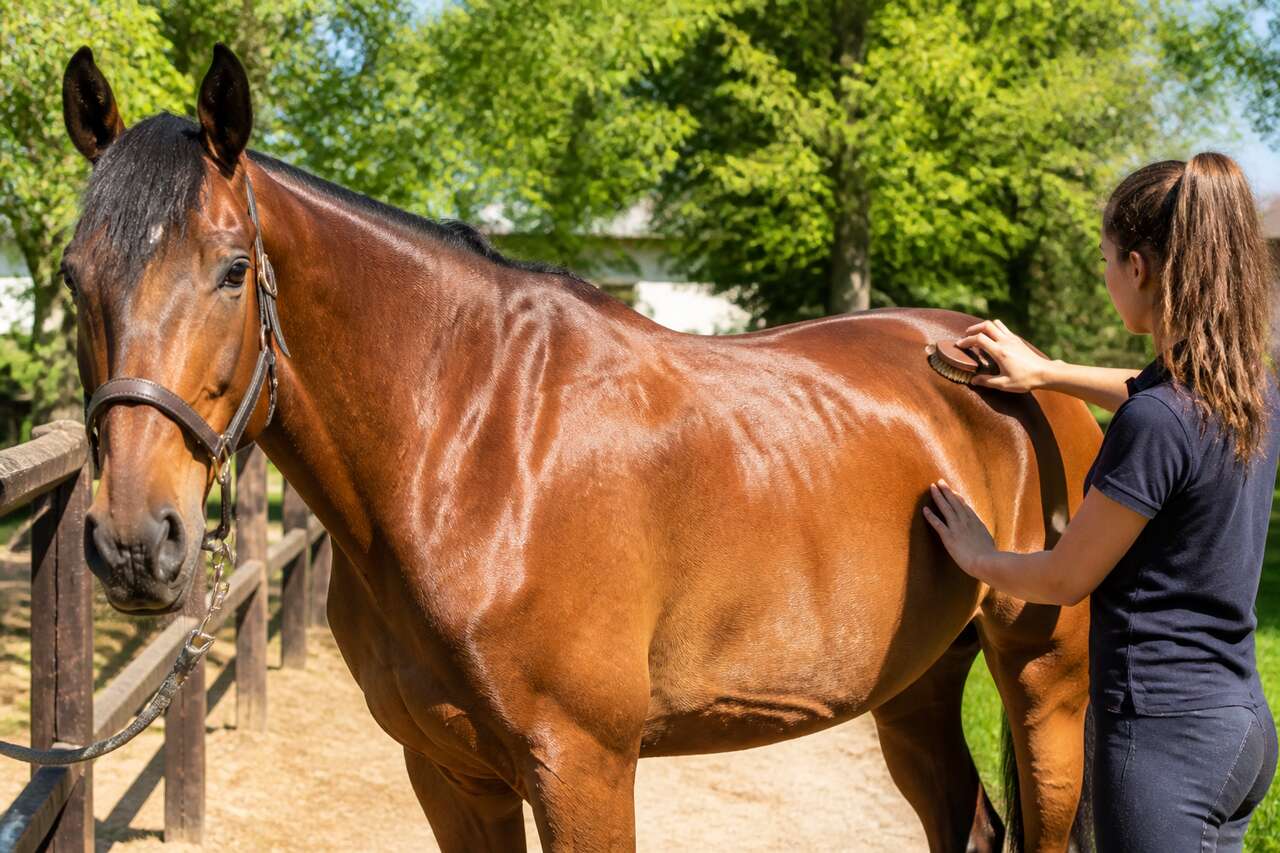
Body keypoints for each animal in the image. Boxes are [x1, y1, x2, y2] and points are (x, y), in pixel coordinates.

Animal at [59, 44, 1098, 851]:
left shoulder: (583, 767)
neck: (471, 450)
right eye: (74, 275)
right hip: (916, 686)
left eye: (233, 270)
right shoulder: (448, 772)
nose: (135, 543)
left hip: (1047, 680)